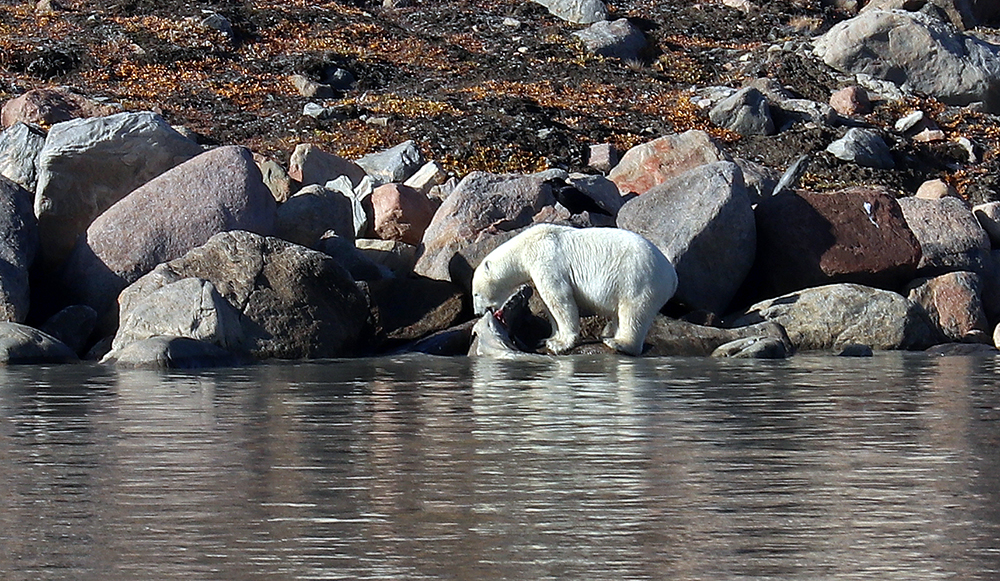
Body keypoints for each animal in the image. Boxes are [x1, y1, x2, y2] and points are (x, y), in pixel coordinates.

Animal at [470, 224, 676, 356]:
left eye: (476, 294)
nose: (477, 312)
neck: (526, 246)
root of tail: (672, 276)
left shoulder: (546, 259)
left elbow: (559, 298)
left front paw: (561, 344)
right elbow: (548, 304)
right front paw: (550, 338)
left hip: (638, 279)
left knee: (633, 312)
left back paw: (619, 342)